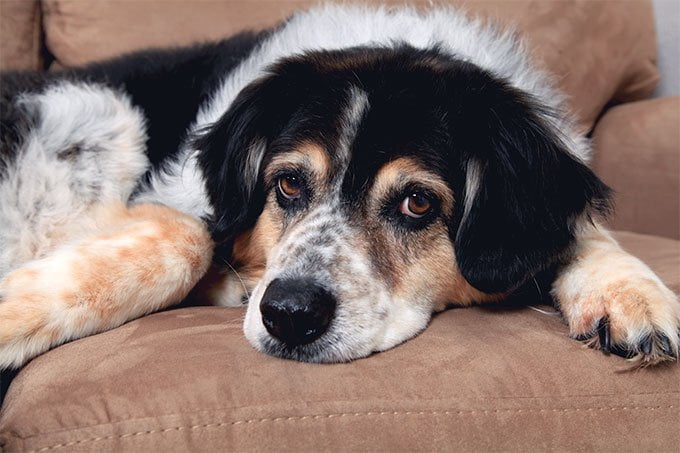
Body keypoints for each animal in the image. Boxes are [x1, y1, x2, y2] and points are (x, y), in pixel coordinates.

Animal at [0, 5, 676, 370]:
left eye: (417, 202)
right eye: (288, 184)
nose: (288, 315)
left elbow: (583, 229)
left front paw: (633, 295)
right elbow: (185, 236)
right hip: (100, 113)